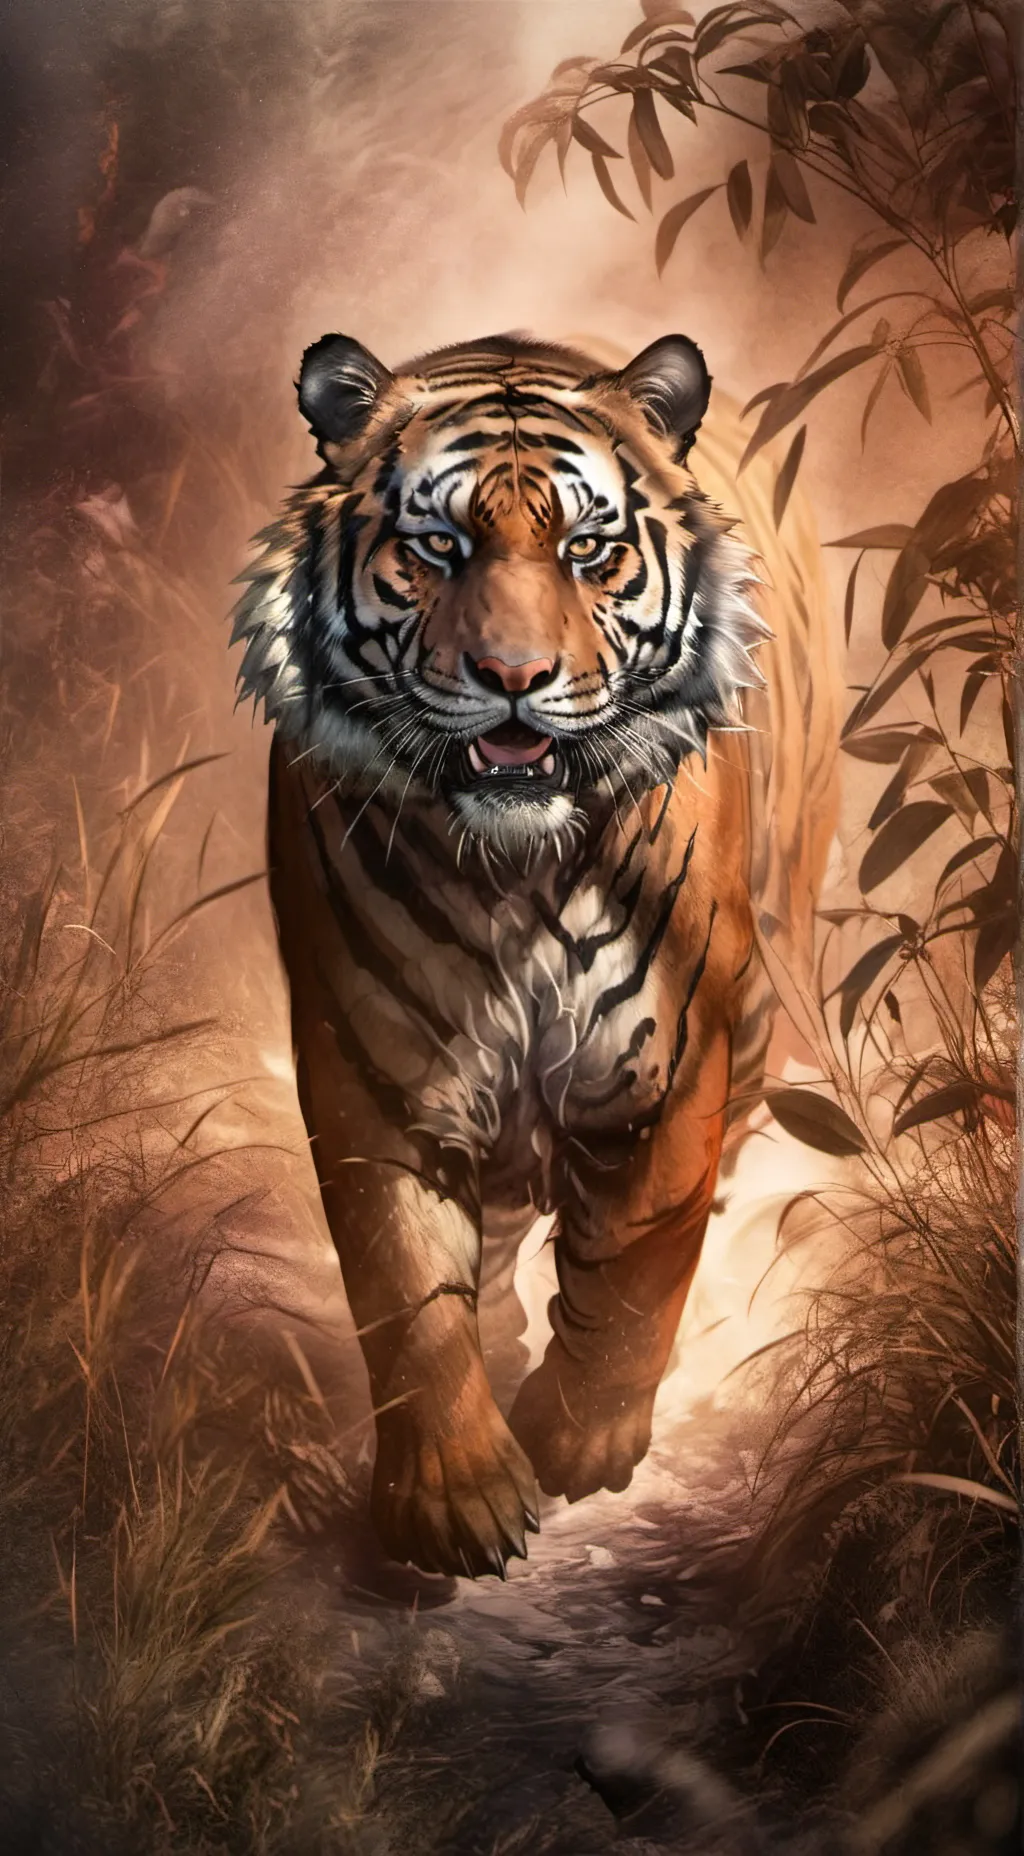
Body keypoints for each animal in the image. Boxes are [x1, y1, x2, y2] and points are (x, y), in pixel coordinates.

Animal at [231, 329, 840, 1579]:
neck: (513, 870)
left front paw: (579, 1436)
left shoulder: (673, 1059)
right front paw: (455, 1495)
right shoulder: (377, 1069)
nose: (513, 678)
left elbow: (637, 1262)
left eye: (587, 550)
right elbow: (406, 1287)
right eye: (437, 546)